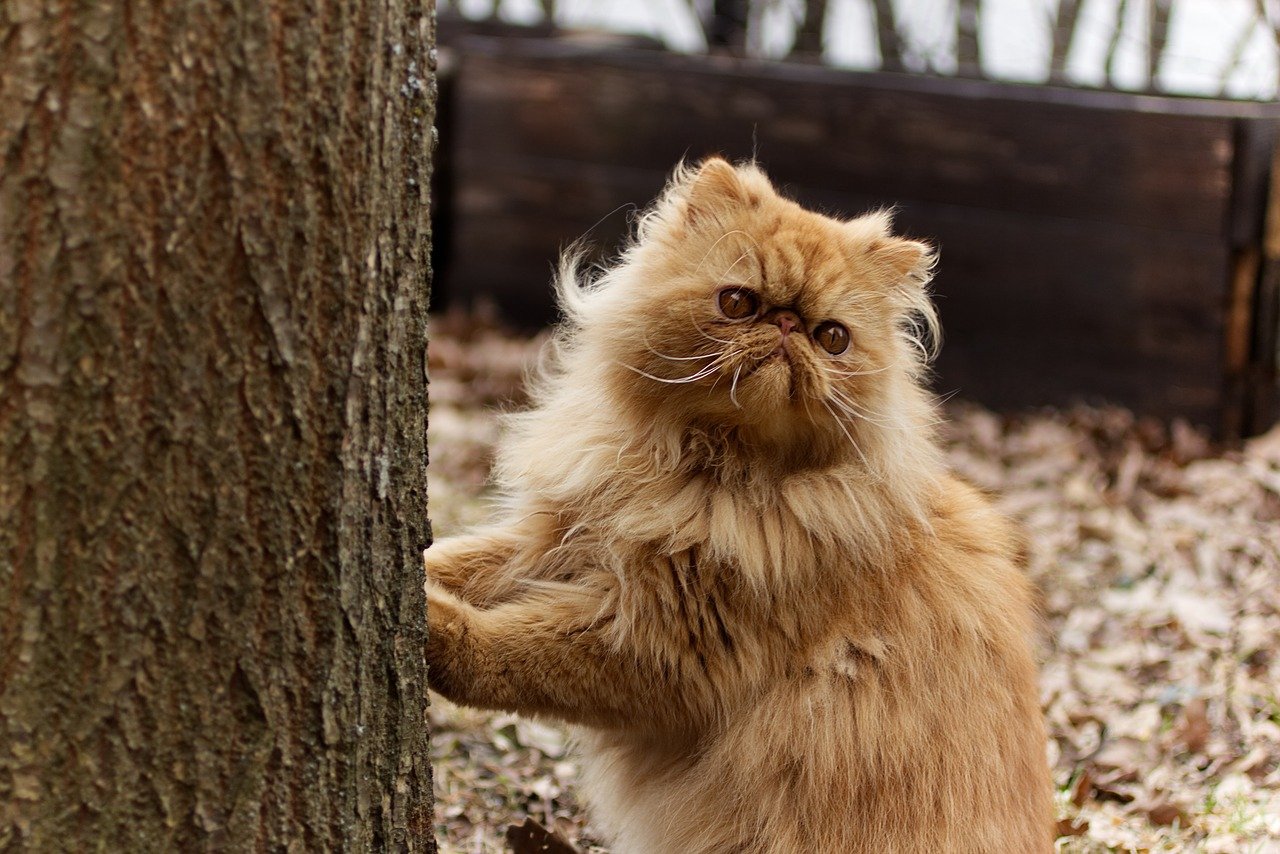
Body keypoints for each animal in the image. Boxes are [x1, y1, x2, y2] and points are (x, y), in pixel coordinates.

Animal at [424, 156, 1054, 850]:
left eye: (832, 338)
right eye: (738, 303)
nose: (786, 326)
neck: (703, 476)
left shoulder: (666, 644)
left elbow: (510, 650)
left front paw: (433, 624)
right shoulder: (558, 538)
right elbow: (461, 559)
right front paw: (415, 575)